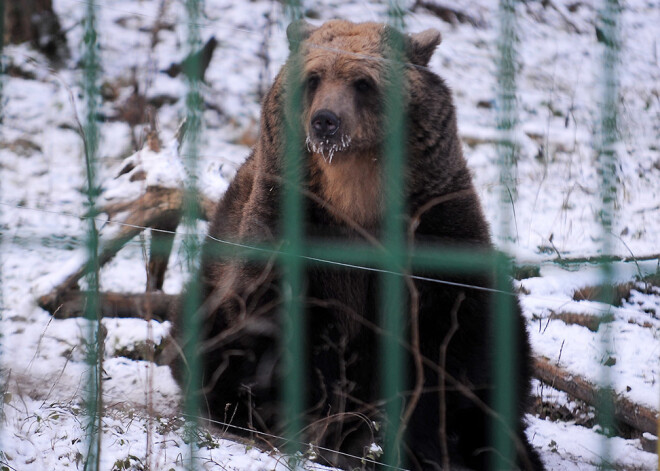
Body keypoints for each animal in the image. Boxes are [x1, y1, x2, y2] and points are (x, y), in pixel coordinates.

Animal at [173, 19, 544, 471]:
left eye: (362, 82)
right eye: (314, 78)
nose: (325, 121)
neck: (354, 191)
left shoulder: (434, 226)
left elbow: (455, 338)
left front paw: (424, 441)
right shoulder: (293, 227)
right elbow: (286, 327)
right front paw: (325, 427)